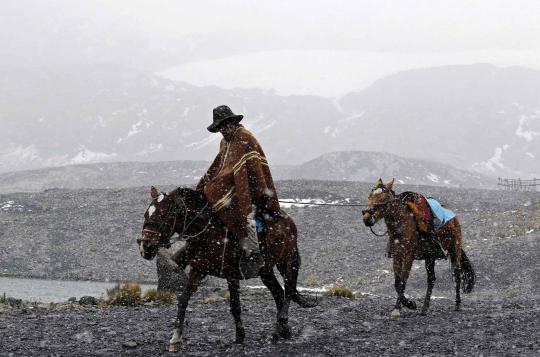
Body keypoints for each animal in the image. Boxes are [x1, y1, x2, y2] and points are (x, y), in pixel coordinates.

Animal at [138, 186, 316, 350]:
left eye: (162, 215)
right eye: (146, 215)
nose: (145, 247)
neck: (208, 232)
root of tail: (287, 219)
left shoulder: (232, 273)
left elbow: (235, 306)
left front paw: (239, 338)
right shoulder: (198, 271)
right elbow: (183, 300)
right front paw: (175, 339)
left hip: (287, 260)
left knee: (289, 289)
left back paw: (280, 325)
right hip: (265, 270)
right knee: (279, 293)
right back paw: (282, 330)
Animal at [362, 178, 472, 318]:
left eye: (384, 197)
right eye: (369, 196)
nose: (367, 218)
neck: (402, 224)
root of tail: (453, 217)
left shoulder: (409, 256)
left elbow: (403, 281)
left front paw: (403, 306)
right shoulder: (397, 255)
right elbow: (397, 282)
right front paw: (405, 305)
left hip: (454, 250)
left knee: (457, 275)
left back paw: (457, 304)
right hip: (430, 257)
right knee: (431, 279)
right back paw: (425, 308)